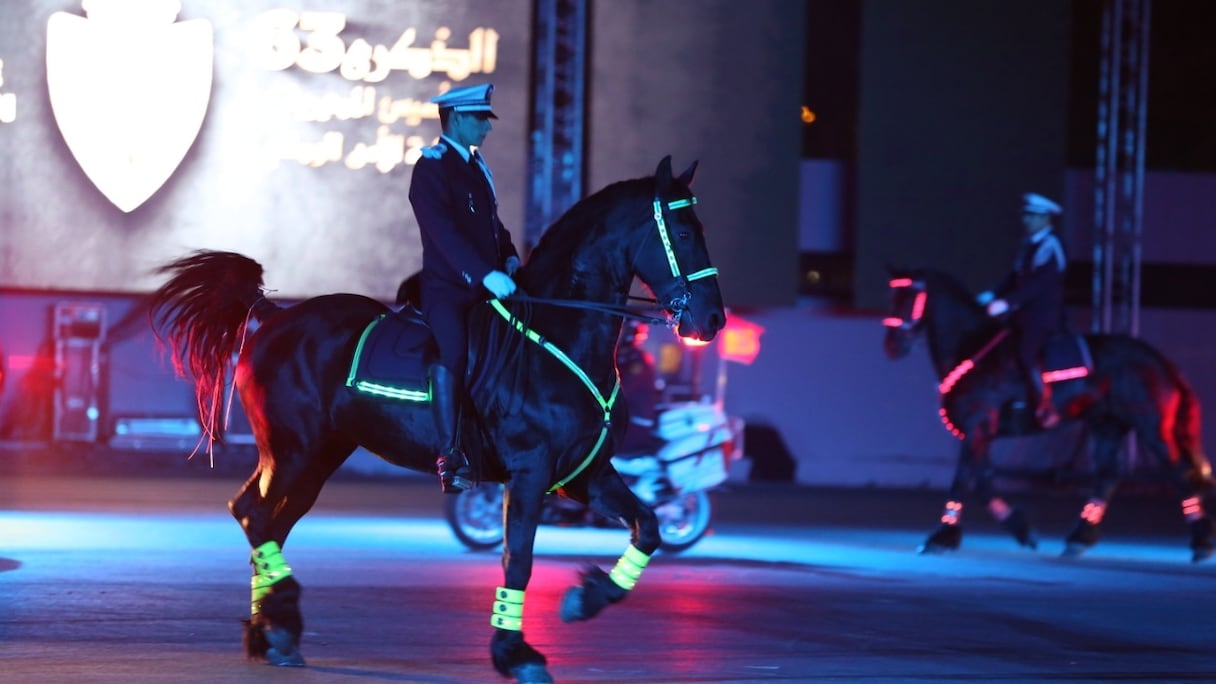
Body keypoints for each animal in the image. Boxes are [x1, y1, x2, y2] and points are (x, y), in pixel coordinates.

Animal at [150, 157, 719, 676]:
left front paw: (587, 598)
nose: (712, 319)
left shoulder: (586, 475)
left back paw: (271, 633)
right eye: (684, 231)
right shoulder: (530, 472)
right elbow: (518, 558)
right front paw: (515, 654)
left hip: (317, 456)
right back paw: (280, 619)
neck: (556, 332)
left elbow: (648, 526)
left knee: (271, 521)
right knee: (254, 513)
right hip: (293, 450)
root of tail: (275, 317)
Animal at [880, 265, 1211, 559]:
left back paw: (1202, 543)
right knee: (1107, 476)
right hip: (1107, 424)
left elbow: (962, 480)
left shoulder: (978, 426)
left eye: (911, 298)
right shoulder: (980, 434)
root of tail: (1158, 359)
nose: (892, 347)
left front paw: (940, 538)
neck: (973, 347)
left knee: (1179, 473)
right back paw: (1079, 538)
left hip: (1151, 427)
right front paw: (1022, 529)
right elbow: (983, 483)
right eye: (892, 298)